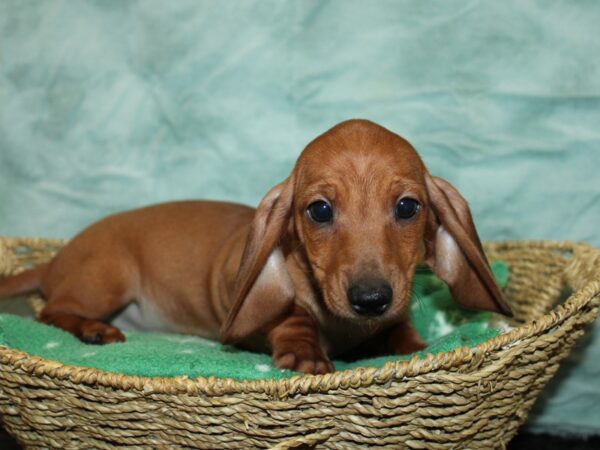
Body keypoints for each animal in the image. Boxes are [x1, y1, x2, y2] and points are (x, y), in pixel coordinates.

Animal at [0, 118, 510, 372]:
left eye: (407, 207)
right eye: (319, 210)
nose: (370, 300)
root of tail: (56, 260)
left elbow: (399, 330)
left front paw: (412, 345)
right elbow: (289, 316)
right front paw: (304, 349)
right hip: (107, 278)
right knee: (51, 311)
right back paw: (92, 330)